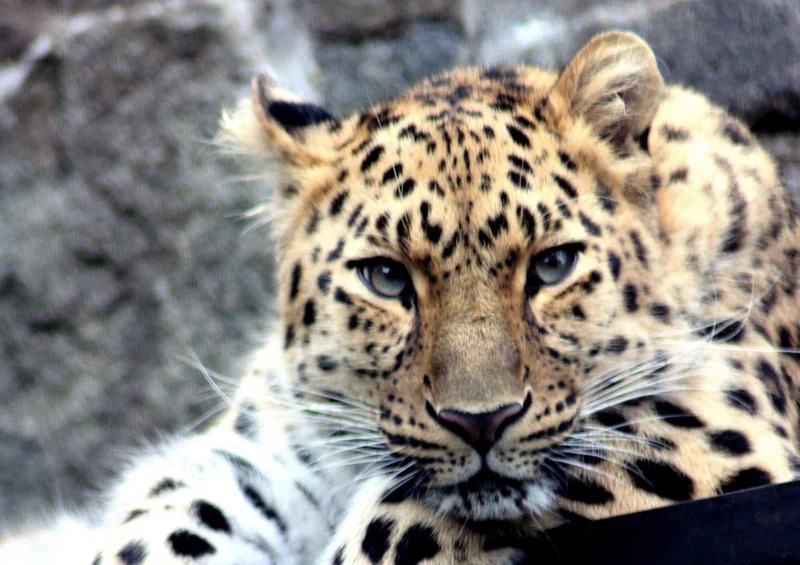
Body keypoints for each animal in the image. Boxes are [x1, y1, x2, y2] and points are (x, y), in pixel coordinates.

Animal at [15, 30, 800, 565]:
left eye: (552, 266)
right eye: (387, 278)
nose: (481, 422)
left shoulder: (717, 420)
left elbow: (397, 524)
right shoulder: (265, 448)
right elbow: (164, 518)